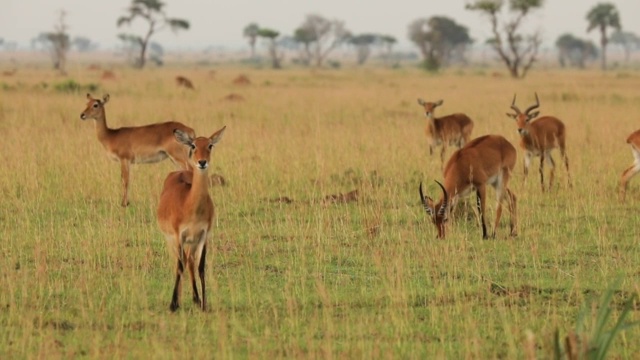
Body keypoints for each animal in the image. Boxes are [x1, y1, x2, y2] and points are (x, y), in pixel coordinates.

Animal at [156, 125, 226, 310]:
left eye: (210, 145)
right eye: (193, 145)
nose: (202, 162)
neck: (191, 206)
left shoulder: (203, 235)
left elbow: (200, 267)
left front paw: (204, 304)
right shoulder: (179, 236)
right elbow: (179, 266)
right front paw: (173, 304)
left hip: (192, 242)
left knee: (190, 261)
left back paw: (195, 299)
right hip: (171, 240)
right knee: (179, 263)